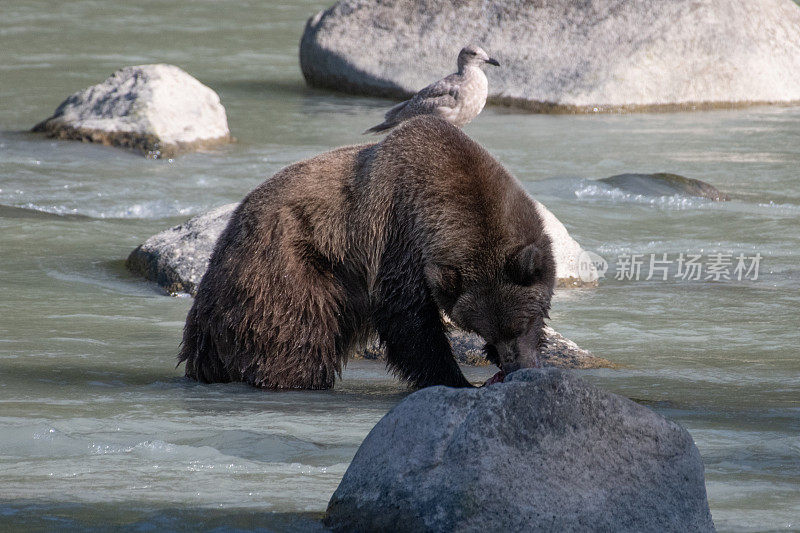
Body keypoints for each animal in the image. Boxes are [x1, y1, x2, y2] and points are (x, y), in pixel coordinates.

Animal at [178, 116, 552, 388]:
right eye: (487, 330)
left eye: (520, 324)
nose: (516, 365)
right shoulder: (399, 235)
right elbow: (407, 317)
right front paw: (455, 380)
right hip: (287, 269)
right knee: (295, 337)